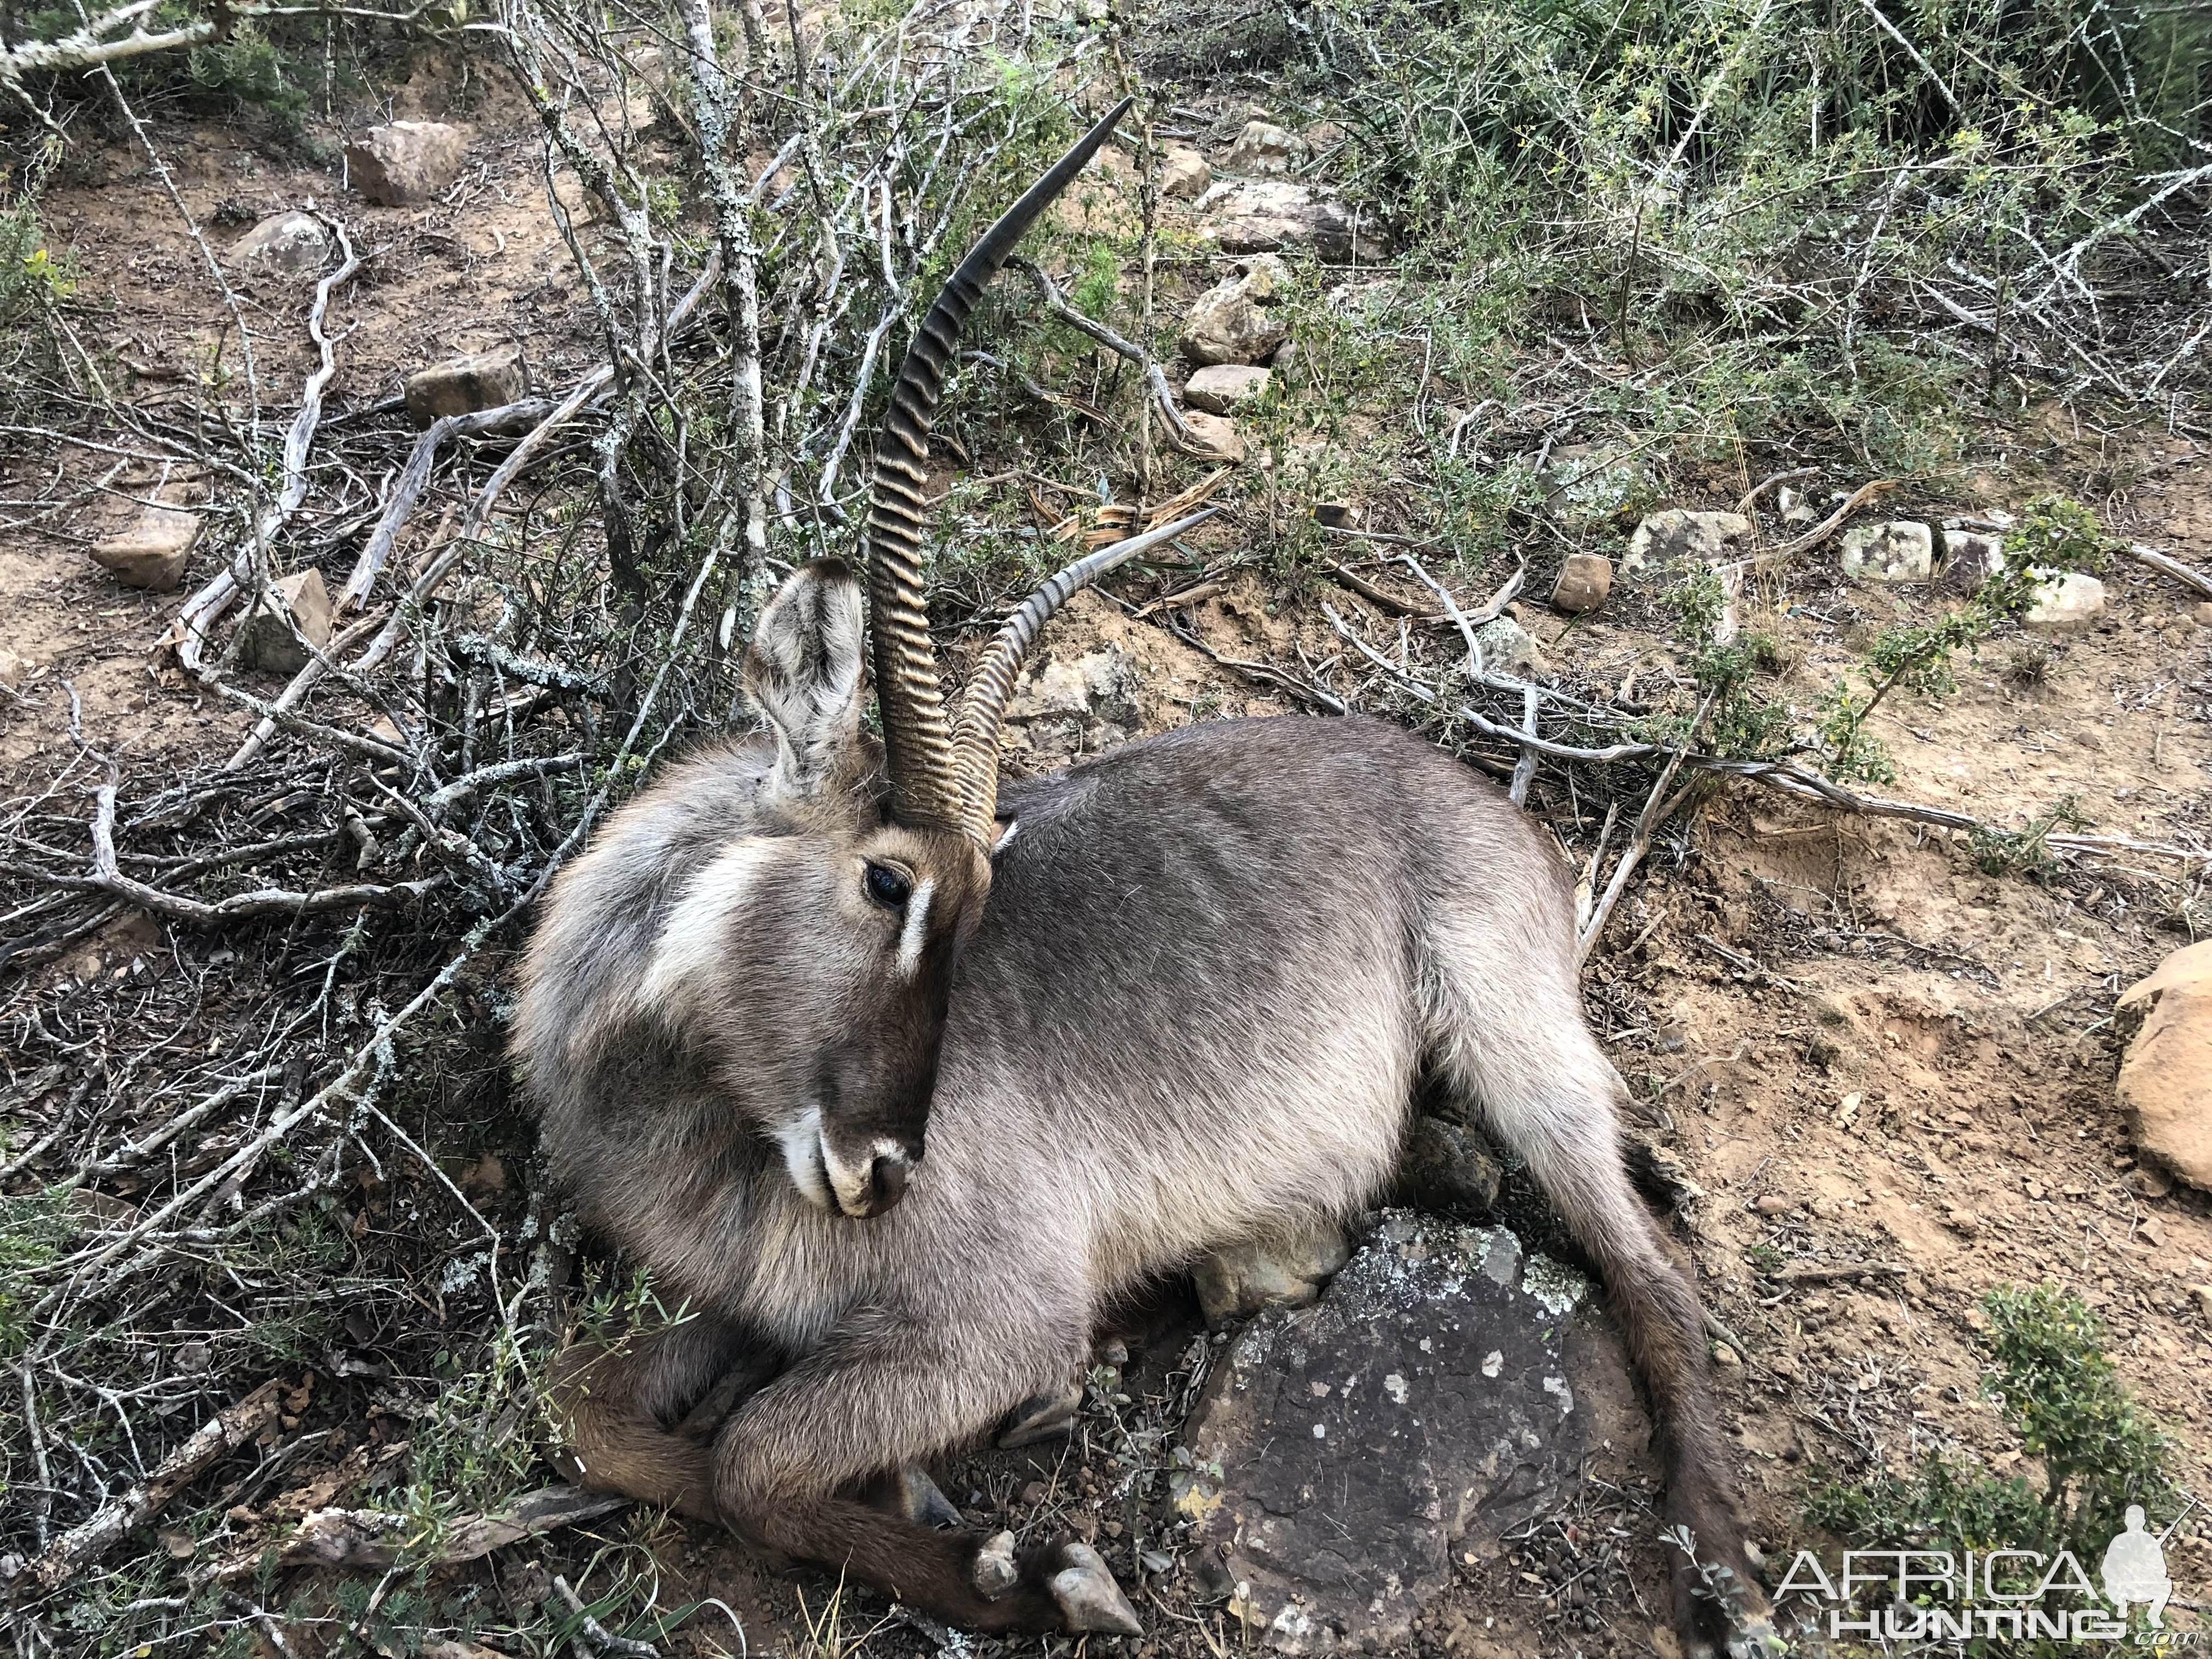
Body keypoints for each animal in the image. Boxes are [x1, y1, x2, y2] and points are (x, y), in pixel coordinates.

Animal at [513, 97, 1778, 1654]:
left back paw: (1720, 1564)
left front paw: (1022, 1571)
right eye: (890, 884)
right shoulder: (746, 1308)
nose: (888, 1171)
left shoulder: (994, 1313)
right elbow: (582, 1413)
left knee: (1655, 1278)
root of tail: (1478, 797)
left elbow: (751, 1465)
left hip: (1517, 1050)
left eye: (970, 906)